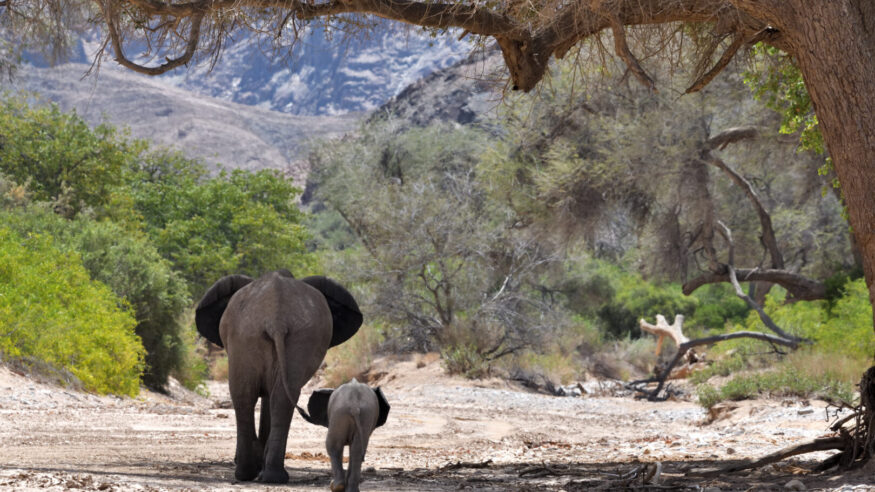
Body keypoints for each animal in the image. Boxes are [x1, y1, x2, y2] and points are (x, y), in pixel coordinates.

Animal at [196, 269, 362, 483]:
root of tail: (276, 319)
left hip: (274, 337)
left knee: (256, 396)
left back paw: (258, 474)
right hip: (255, 335)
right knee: (255, 395)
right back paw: (257, 474)